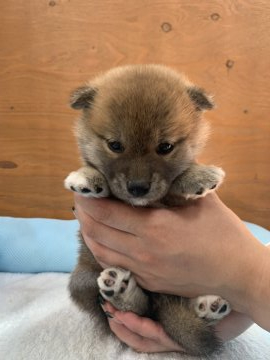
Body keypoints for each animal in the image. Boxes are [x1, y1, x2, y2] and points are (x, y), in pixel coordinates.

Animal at [65, 65, 230, 358]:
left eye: (165, 147)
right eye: (115, 145)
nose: (138, 188)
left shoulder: (173, 198)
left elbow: (176, 182)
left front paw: (197, 175)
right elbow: (101, 179)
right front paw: (87, 177)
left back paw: (206, 307)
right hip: (82, 281)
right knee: (138, 308)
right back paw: (121, 291)